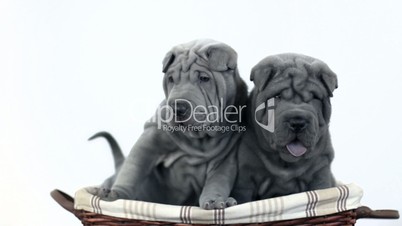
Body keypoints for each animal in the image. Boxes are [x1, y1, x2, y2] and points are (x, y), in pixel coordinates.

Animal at [93, 39, 248, 210]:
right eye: (171, 79)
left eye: (204, 78)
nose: (178, 107)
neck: (198, 139)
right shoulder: (149, 140)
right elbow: (132, 169)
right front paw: (117, 193)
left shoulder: (225, 157)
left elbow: (217, 181)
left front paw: (214, 201)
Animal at [231, 53, 338, 203]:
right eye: (278, 96)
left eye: (314, 98)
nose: (297, 122)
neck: (285, 163)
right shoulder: (246, 177)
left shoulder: (320, 171)